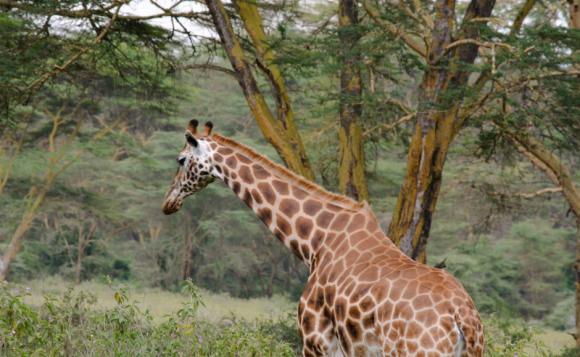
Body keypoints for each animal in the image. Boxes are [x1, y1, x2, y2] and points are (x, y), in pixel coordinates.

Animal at [162, 120, 484, 356]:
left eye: (180, 159)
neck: (315, 242)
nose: (168, 202)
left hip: (414, 352)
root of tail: (463, 318)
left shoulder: (316, 341)